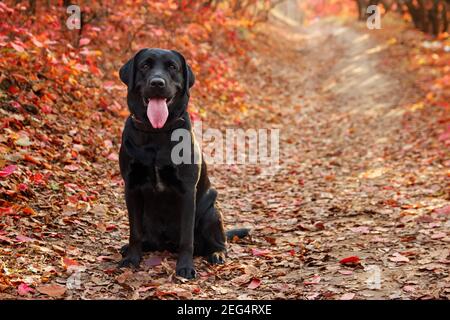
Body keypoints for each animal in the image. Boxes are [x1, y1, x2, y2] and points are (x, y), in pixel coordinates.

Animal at [118, 48, 248, 278]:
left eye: (172, 67)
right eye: (144, 65)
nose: (157, 83)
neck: (157, 132)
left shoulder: (187, 191)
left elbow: (186, 238)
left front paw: (185, 267)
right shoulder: (131, 187)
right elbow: (134, 232)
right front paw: (132, 258)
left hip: (211, 212)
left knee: (220, 243)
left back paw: (217, 254)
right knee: (145, 237)